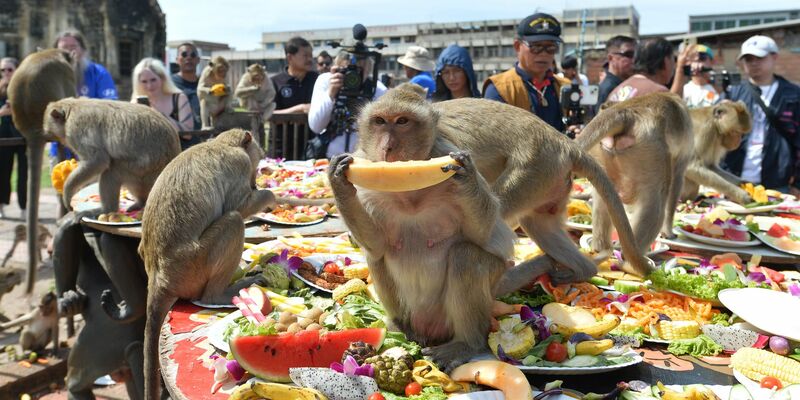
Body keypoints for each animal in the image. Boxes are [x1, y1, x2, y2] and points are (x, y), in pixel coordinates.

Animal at [43, 98, 181, 214]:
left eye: (49, 130)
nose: (47, 137)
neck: (72, 108)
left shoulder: (76, 129)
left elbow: (98, 161)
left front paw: (67, 191)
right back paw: (141, 203)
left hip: (144, 171)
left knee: (112, 171)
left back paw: (106, 210)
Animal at [132, 129, 275, 400]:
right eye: (257, 162)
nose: (255, 183)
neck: (222, 144)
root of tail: (158, 278)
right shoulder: (239, 164)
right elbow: (239, 206)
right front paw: (270, 196)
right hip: (195, 266)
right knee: (234, 220)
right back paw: (218, 294)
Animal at [329, 84, 649, 370]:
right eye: (380, 122)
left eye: (402, 121)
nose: (388, 147)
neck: (410, 192)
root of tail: (563, 140)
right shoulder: (368, 174)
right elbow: (377, 243)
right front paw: (338, 181)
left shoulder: (446, 150)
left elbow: (486, 237)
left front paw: (467, 176)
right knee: (379, 257)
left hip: (534, 169)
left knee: (468, 256)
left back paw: (466, 343)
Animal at [575, 92, 694, 257]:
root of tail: (625, 111)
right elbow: (676, 182)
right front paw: (668, 232)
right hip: (651, 152)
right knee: (655, 206)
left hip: (604, 154)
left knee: (603, 198)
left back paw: (601, 248)